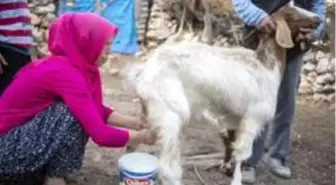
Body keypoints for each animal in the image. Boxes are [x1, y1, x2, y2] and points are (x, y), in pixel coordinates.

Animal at [121, 2, 320, 185]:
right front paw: (237, 180)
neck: (266, 66)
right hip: (169, 113)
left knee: (134, 141)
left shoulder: (234, 119)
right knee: (166, 163)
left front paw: (227, 168)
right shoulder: (253, 118)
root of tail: (143, 72)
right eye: (293, 13)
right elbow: (243, 154)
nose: (317, 19)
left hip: (151, 110)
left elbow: (230, 144)